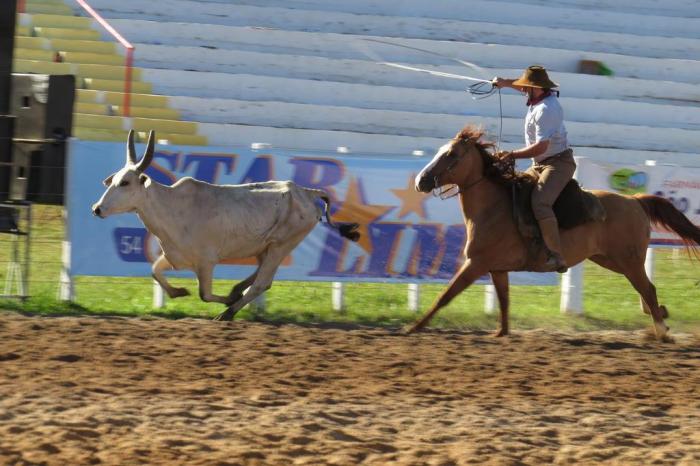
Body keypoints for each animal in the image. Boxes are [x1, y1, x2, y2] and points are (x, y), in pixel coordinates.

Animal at [93, 130, 360, 320]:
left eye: (125, 182)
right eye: (114, 180)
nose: (97, 208)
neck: (172, 208)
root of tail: (305, 191)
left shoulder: (206, 262)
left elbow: (204, 294)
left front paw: (223, 301)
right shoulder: (174, 256)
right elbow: (155, 272)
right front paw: (179, 292)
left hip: (282, 244)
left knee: (262, 282)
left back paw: (228, 312)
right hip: (267, 247)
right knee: (260, 275)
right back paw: (235, 292)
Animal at [410, 125, 700, 340]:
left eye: (451, 154)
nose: (421, 181)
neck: (493, 207)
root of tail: (635, 200)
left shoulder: (476, 264)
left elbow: (445, 296)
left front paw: (414, 327)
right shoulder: (497, 269)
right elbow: (504, 301)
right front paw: (501, 333)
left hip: (628, 260)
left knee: (647, 288)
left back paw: (661, 330)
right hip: (611, 260)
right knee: (646, 290)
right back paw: (661, 316)